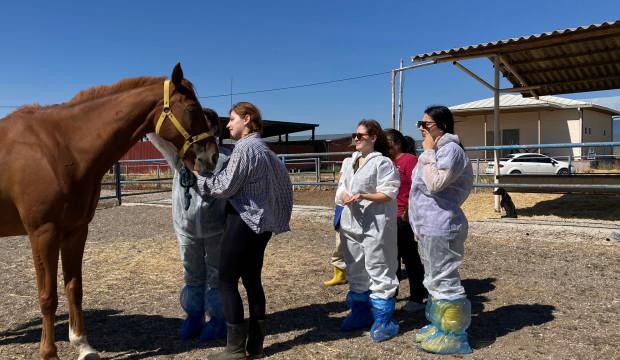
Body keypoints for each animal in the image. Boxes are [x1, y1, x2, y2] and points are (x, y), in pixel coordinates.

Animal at [0, 64, 218, 360]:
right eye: (193, 109)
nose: (212, 157)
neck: (59, 149)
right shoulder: (43, 234)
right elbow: (48, 296)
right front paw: (49, 353)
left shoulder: (76, 231)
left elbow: (74, 288)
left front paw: (82, 345)